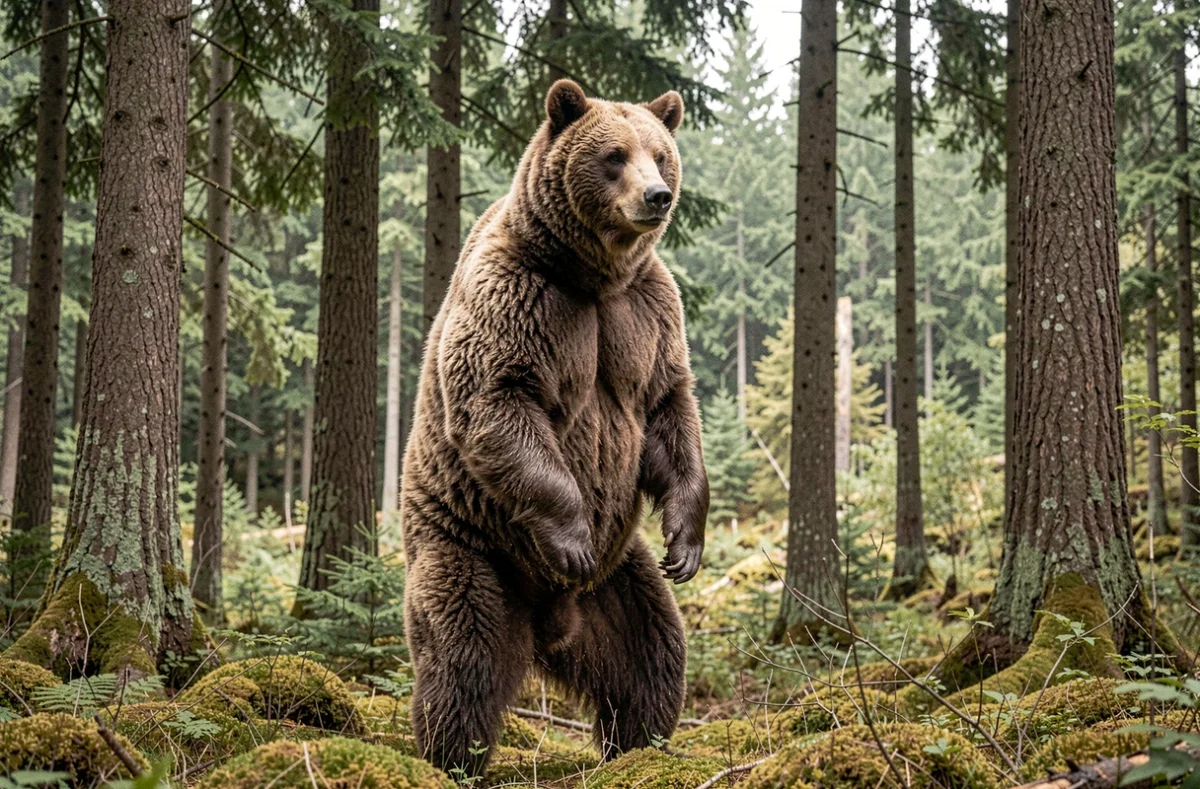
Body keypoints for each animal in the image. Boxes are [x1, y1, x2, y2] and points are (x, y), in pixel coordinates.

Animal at [400, 79, 709, 777]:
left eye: (660, 153)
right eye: (615, 156)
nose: (658, 196)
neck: (592, 276)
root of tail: (549, 624)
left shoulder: (648, 311)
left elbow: (667, 408)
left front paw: (685, 542)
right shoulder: (520, 297)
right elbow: (499, 402)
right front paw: (571, 538)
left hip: (618, 584)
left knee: (650, 654)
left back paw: (640, 744)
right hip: (470, 546)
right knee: (462, 661)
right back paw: (452, 758)